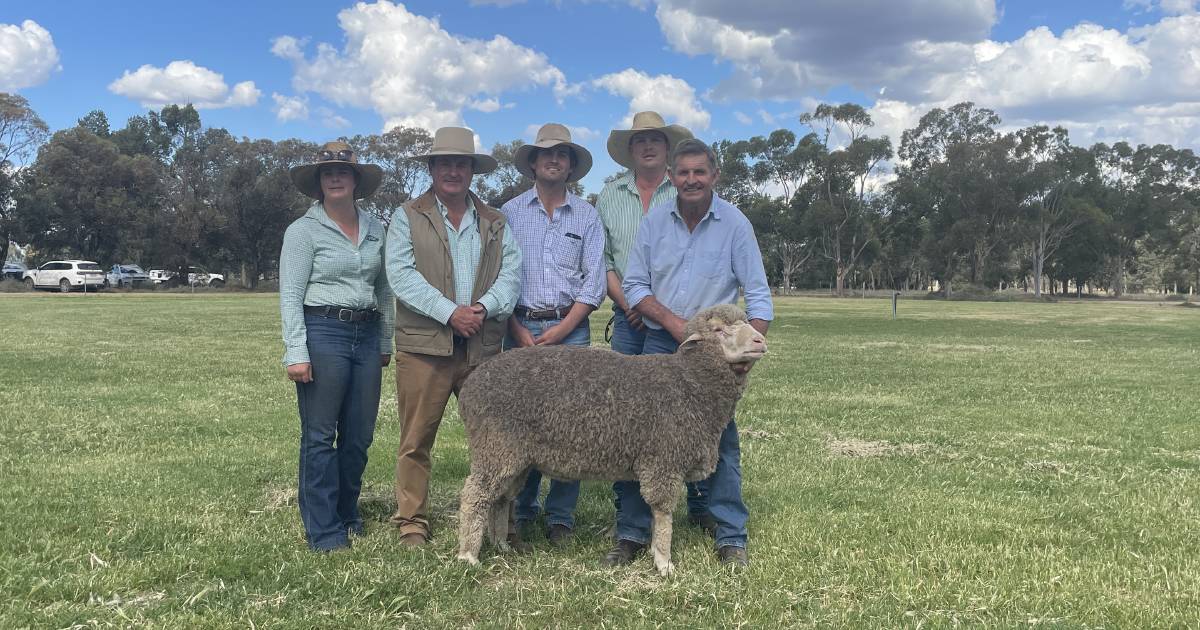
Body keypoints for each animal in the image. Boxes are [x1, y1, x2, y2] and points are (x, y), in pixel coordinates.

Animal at [453, 304, 763, 573]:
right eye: (719, 330)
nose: (760, 340)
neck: (689, 383)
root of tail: (470, 386)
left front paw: (656, 553)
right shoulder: (664, 461)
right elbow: (663, 513)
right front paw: (664, 563)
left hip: (513, 458)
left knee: (500, 498)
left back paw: (501, 544)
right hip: (496, 447)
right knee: (475, 495)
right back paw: (468, 556)